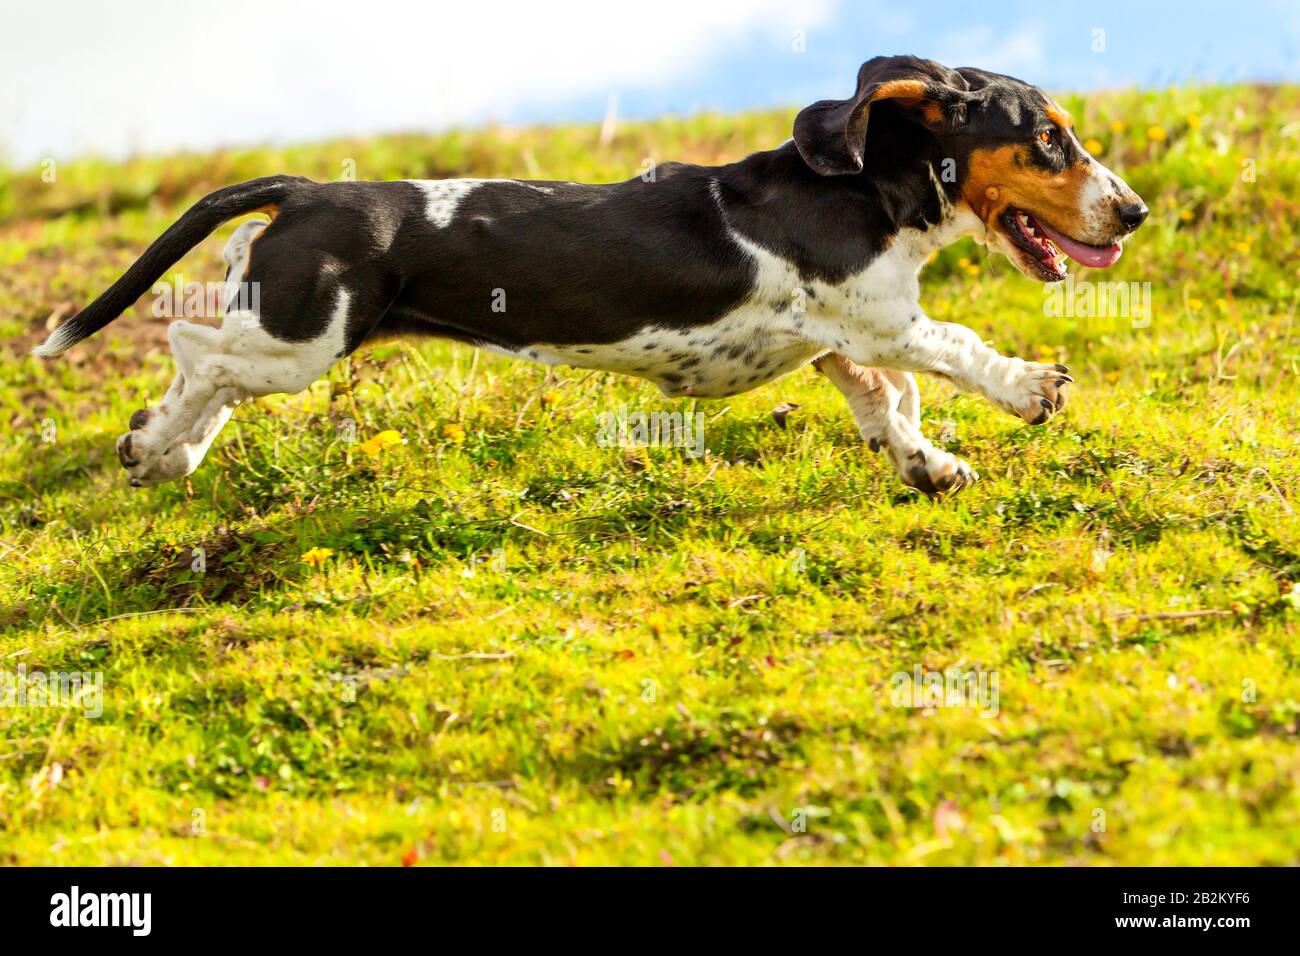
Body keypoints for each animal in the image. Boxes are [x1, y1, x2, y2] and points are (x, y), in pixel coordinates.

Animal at [32, 54, 1149, 494]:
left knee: (207, 371)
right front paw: (1033, 388)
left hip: (282, 331)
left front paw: (932, 467)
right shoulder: (875, 318)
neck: (868, 185)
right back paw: (160, 445)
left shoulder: (840, 344)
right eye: (1050, 139)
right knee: (192, 351)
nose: (1133, 212)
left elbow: (891, 406)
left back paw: (159, 450)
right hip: (303, 337)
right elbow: (954, 350)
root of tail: (304, 189)